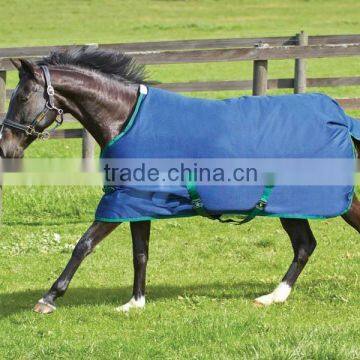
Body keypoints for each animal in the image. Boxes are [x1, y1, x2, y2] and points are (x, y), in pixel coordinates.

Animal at [1, 46, 358, 314]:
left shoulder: (118, 202)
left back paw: (274, 296)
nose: (6, 147)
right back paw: (274, 296)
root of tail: (339, 117)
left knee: (310, 242)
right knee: (305, 245)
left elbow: (83, 245)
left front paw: (48, 298)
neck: (126, 119)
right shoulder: (134, 202)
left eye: (22, 97)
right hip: (292, 205)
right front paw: (134, 303)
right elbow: (139, 253)